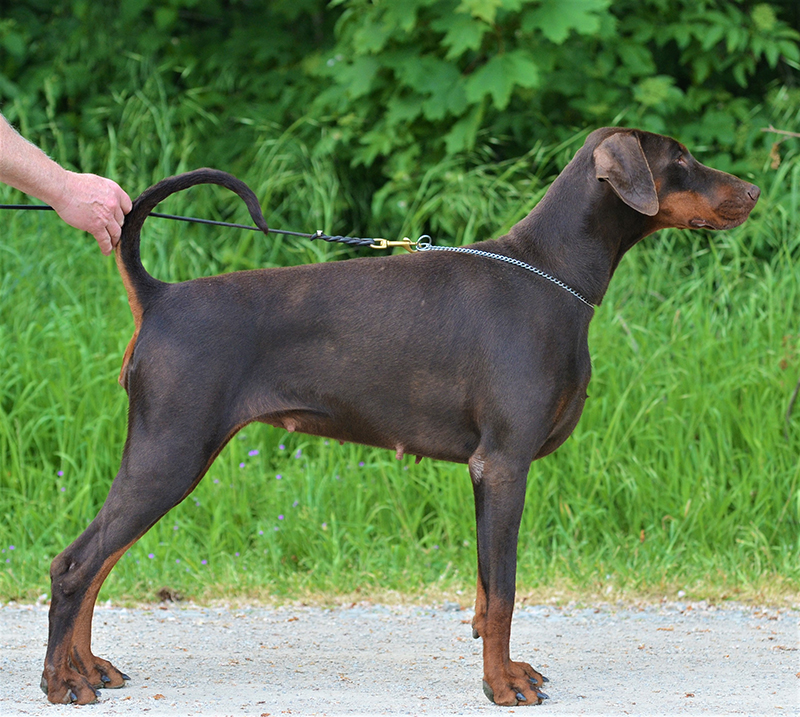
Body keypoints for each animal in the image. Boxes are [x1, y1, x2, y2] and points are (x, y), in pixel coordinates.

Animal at [42, 129, 756, 704]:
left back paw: (90, 667)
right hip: (172, 451)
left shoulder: (486, 472)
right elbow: (505, 592)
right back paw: (61, 680)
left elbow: (485, 588)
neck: (551, 273)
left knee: (98, 564)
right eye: (681, 159)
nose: (752, 190)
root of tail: (159, 297)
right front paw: (503, 685)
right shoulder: (504, 464)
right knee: (76, 565)